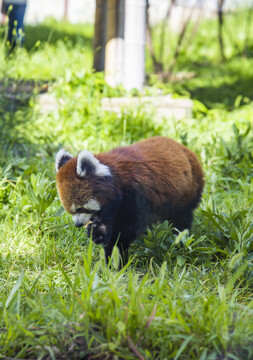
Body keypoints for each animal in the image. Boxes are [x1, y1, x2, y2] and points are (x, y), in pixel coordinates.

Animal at [54, 136, 204, 262]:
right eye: (70, 211)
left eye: (80, 208)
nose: (78, 224)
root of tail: (187, 151)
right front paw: (97, 232)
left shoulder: (134, 196)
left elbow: (126, 230)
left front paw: (113, 259)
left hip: (188, 191)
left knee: (181, 220)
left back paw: (179, 241)